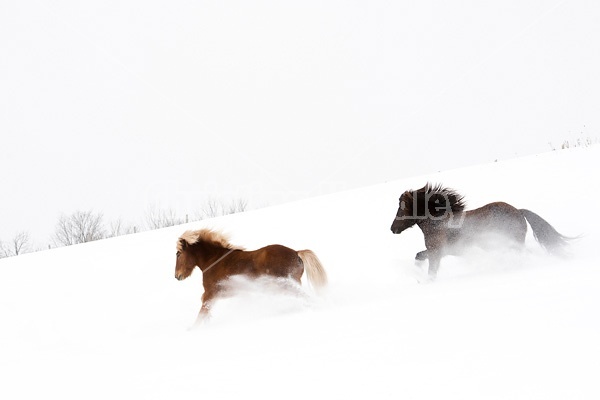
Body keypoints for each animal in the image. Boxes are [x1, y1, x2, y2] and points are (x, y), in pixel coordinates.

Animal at [173, 228, 328, 324]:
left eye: (178, 254)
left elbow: (202, 313)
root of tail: (296, 252)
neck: (214, 260)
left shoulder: (211, 293)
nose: (177, 276)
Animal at [392, 183, 568, 280]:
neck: (438, 224)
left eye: (402, 208)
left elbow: (430, 269)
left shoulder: (437, 252)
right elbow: (419, 257)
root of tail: (518, 211)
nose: (392, 228)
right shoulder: (439, 252)